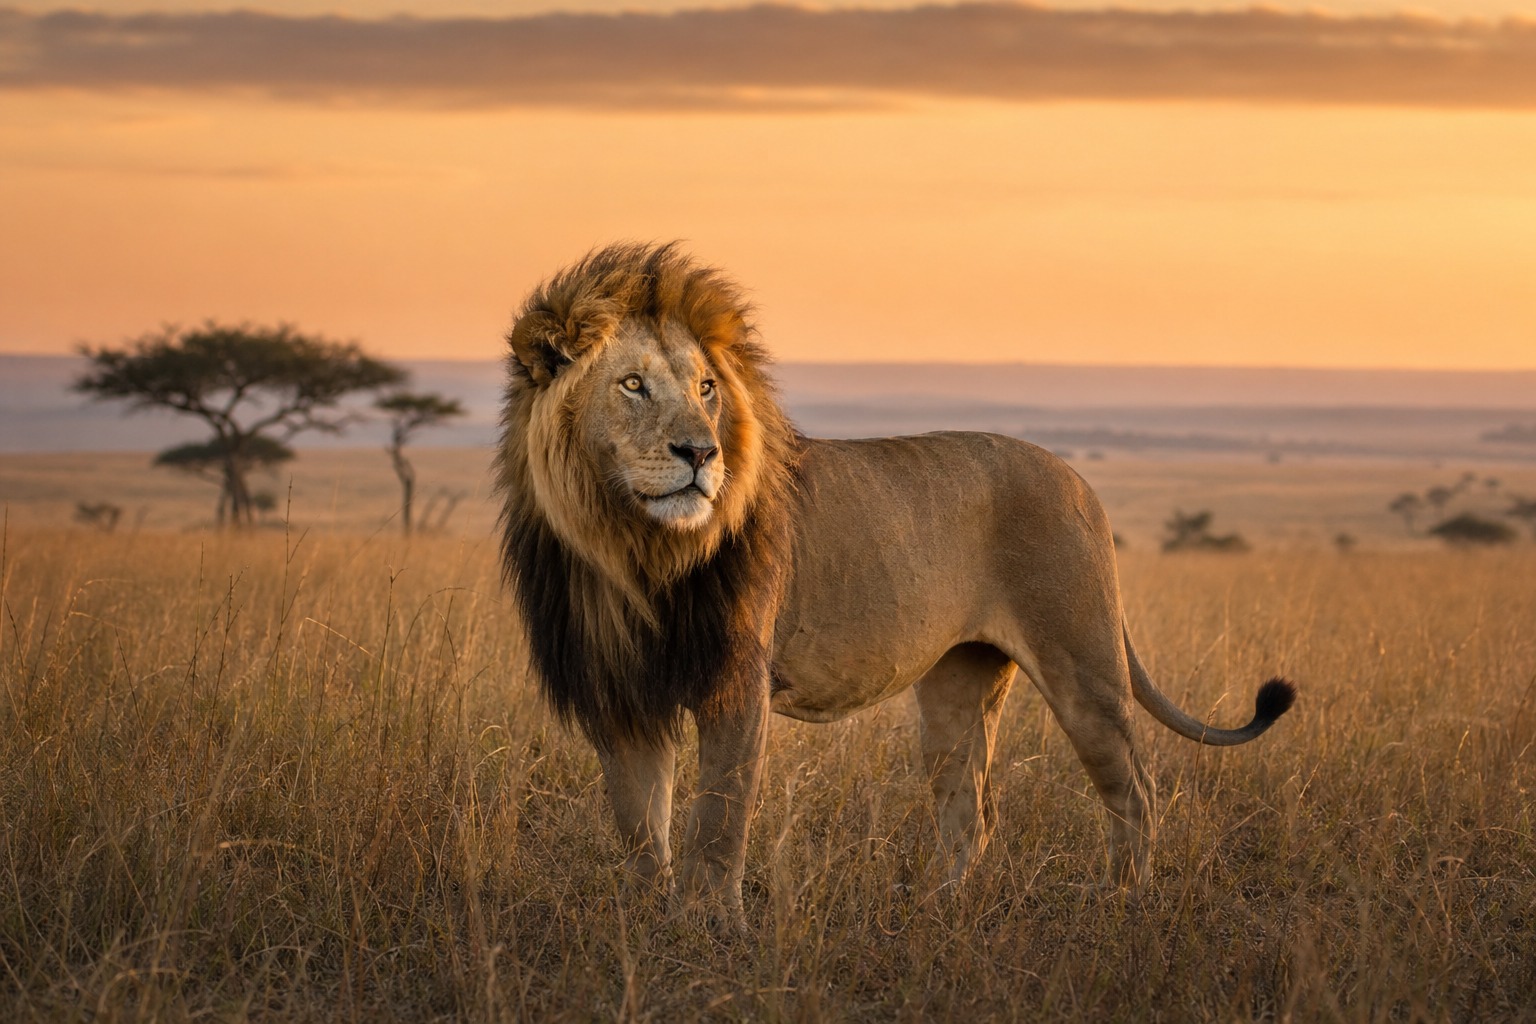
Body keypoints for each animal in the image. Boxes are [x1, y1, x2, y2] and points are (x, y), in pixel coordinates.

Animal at [495, 242, 1295, 928]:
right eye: (632, 384)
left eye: (707, 389)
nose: (701, 452)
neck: (630, 551)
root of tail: (1076, 478)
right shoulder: (618, 692)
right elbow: (639, 826)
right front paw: (646, 922)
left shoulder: (735, 680)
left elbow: (718, 818)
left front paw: (710, 926)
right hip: (958, 684)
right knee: (970, 808)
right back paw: (939, 910)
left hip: (1084, 664)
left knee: (1134, 787)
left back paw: (1123, 902)